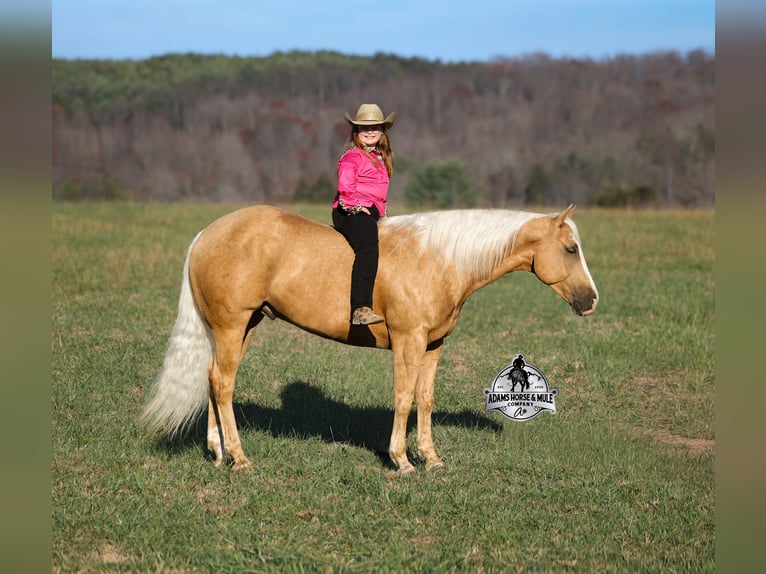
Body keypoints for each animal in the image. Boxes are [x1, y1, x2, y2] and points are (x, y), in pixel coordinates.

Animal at [140, 204, 598, 474]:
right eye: (571, 249)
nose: (591, 299)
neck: (437, 258)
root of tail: (207, 233)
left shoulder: (433, 346)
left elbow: (424, 399)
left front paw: (431, 458)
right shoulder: (408, 341)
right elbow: (403, 398)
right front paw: (402, 461)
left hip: (241, 327)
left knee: (214, 379)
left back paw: (218, 452)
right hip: (233, 326)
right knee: (222, 383)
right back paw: (239, 457)